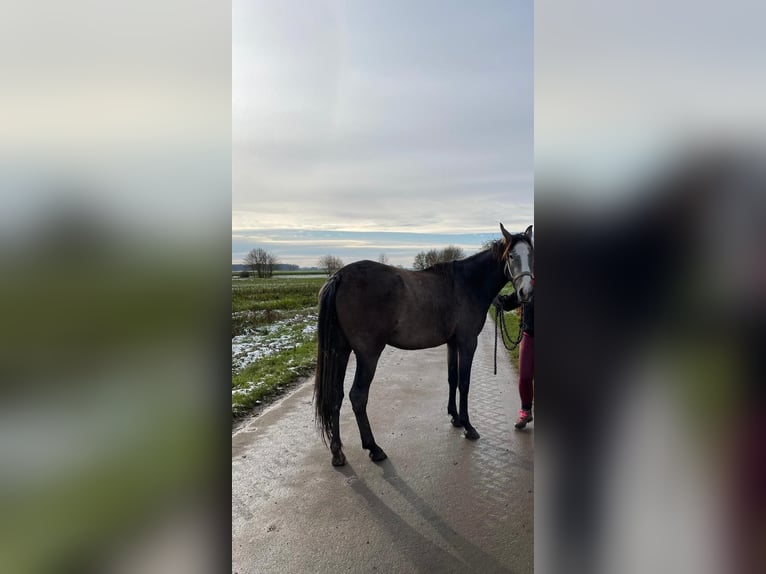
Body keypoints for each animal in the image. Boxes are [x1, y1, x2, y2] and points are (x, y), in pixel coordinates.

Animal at [312, 224, 536, 468]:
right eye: (512, 256)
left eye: (531, 255)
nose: (525, 293)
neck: (468, 283)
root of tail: (340, 276)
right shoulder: (468, 342)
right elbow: (464, 383)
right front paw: (468, 426)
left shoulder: (452, 343)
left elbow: (452, 378)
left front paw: (455, 418)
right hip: (368, 354)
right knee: (358, 397)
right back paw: (374, 448)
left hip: (341, 350)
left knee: (336, 395)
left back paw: (337, 452)